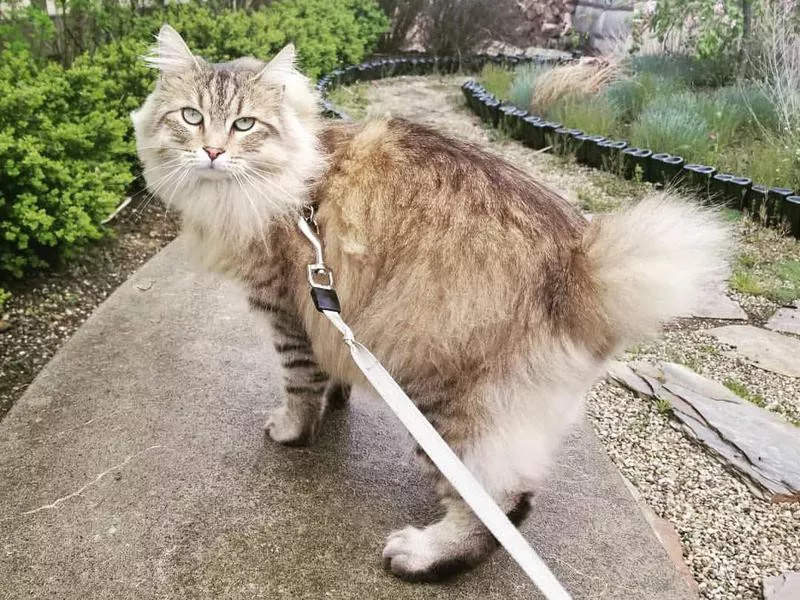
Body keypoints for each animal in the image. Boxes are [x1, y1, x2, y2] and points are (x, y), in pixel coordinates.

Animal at [133, 25, 732, 584]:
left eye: (245, 125)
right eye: (191, 117)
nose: (213, 151)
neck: (293, 180)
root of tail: (579, 262)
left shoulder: (287, 308)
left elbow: (299, 385)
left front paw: (292, 432)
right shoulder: (329, 309)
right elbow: (330, 370)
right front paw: (337, 400)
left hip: (439, 395)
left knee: (500, 506)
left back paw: (421, 555)